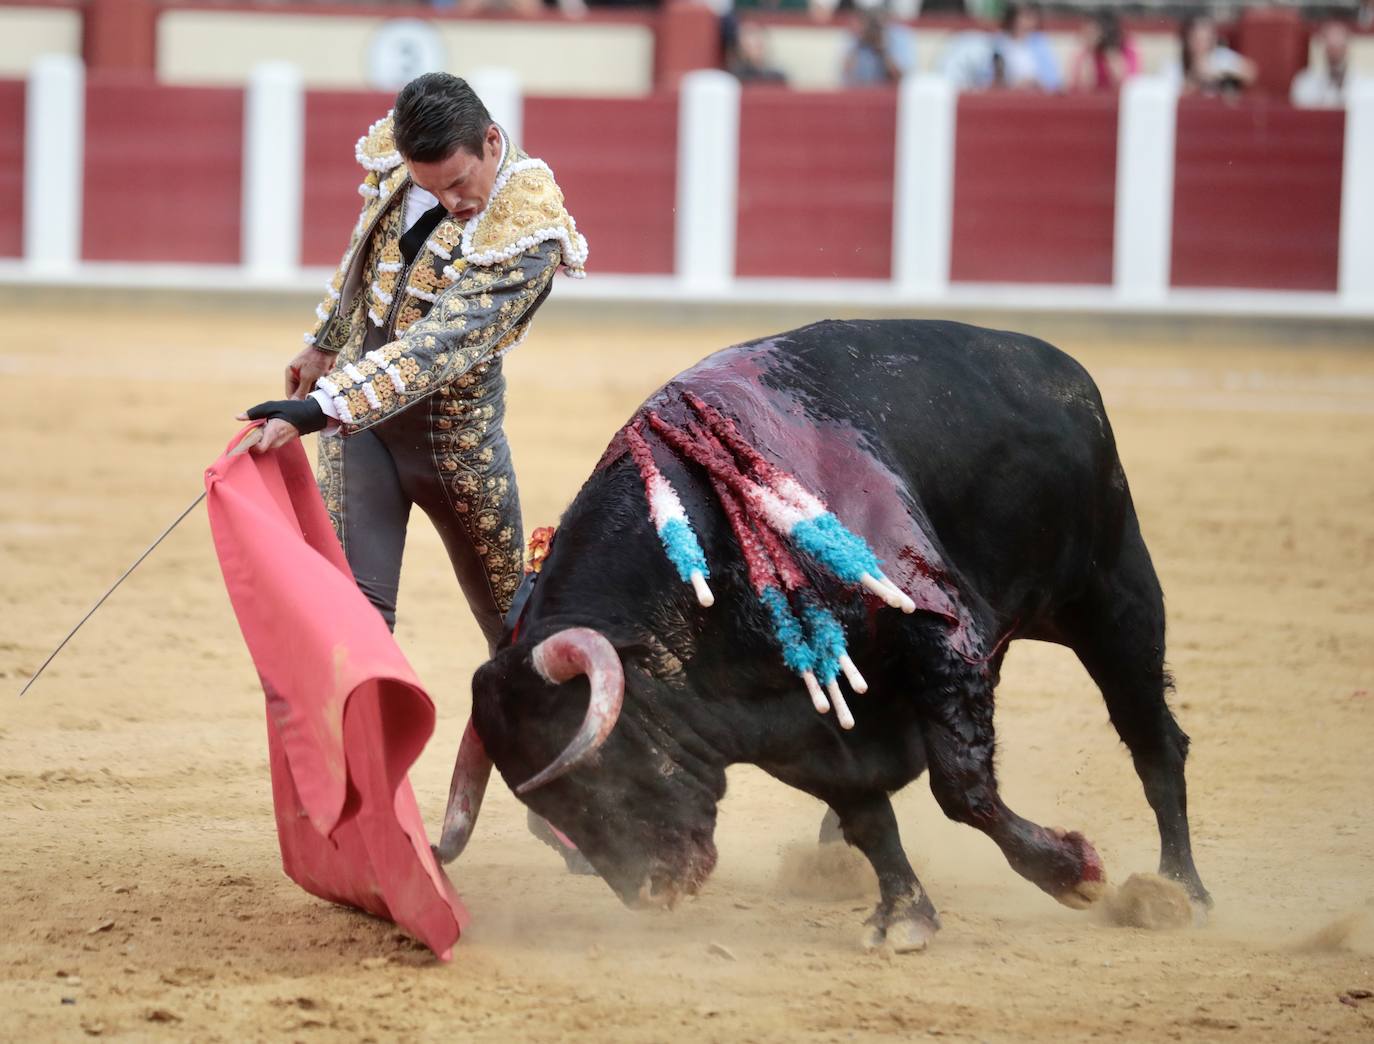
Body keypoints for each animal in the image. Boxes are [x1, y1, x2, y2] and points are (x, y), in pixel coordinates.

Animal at [434, 315, 1209, 945]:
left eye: (598, 769)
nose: (653, 892)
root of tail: (1062, 370)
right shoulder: (799, 720)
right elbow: (867, 810)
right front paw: (903, 915)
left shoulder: (941, 633)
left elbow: (962, 788)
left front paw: (1074, 870)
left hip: (1114, 600)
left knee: (1154, 742)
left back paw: (1177, 894)